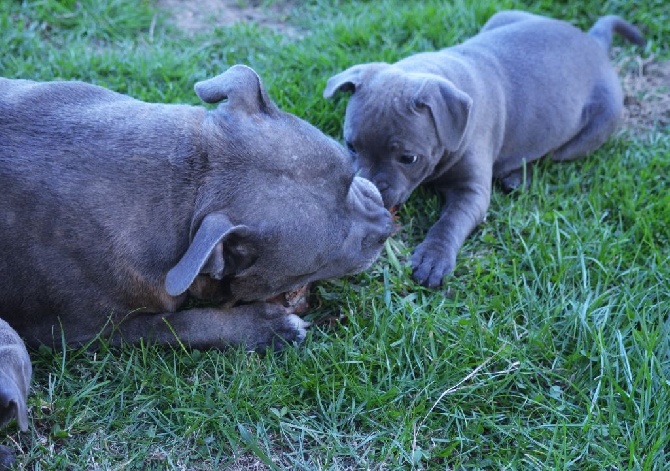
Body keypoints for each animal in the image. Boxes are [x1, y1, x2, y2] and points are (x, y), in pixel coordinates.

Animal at [0, 64, 396, 466]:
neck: (191, 185)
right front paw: (266, 328)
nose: (386, 224)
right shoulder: (80, 332)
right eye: (333, 252)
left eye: (350, 174)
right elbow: (179, 325)